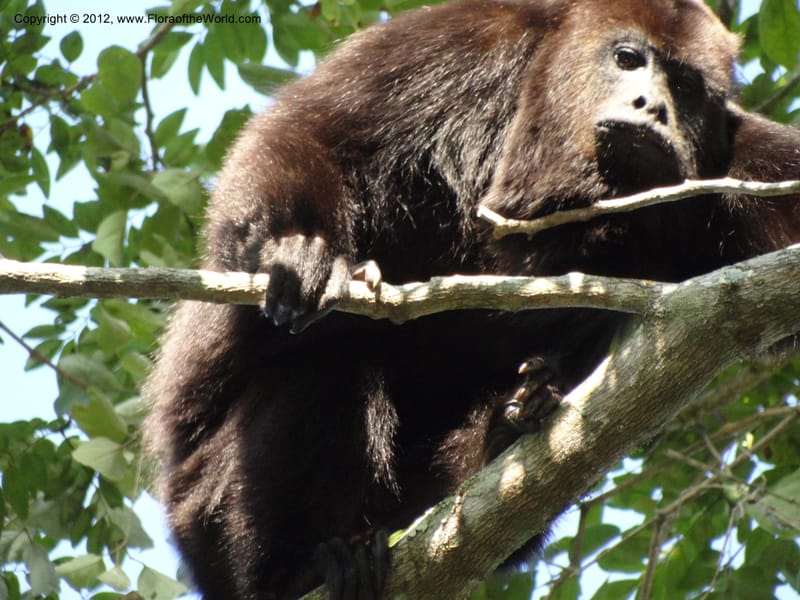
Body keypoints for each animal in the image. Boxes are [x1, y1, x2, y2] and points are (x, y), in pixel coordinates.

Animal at [144, 0, 800, 598]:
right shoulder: (458, 41)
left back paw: (507, 429)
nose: (654, 107)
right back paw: (295, 569)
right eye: (628, 58)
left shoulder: (729, 153)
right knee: (326, 362)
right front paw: (295, 249)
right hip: (203, 512)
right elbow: (314, 132)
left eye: (686, 88)